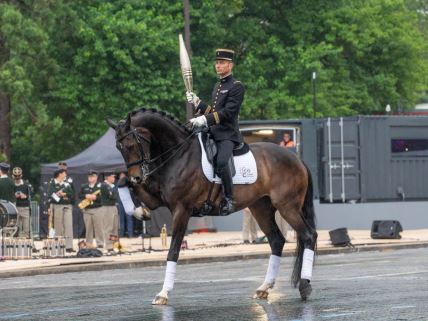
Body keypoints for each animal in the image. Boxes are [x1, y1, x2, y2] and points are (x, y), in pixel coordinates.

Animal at [109, 108, 318, 304]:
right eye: (118, 147)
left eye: (131, 144)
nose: (138, 176)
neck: (179, 154)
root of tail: (296, 158)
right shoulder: (158, 201)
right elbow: (125, 184)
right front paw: (138, 211)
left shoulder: (181, 209)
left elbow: (173, 251)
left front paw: (163, 293)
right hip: (261, 208)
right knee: (276, 241)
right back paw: (264, 288)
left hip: (287, 206)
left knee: (308, 235)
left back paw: (304, 285)